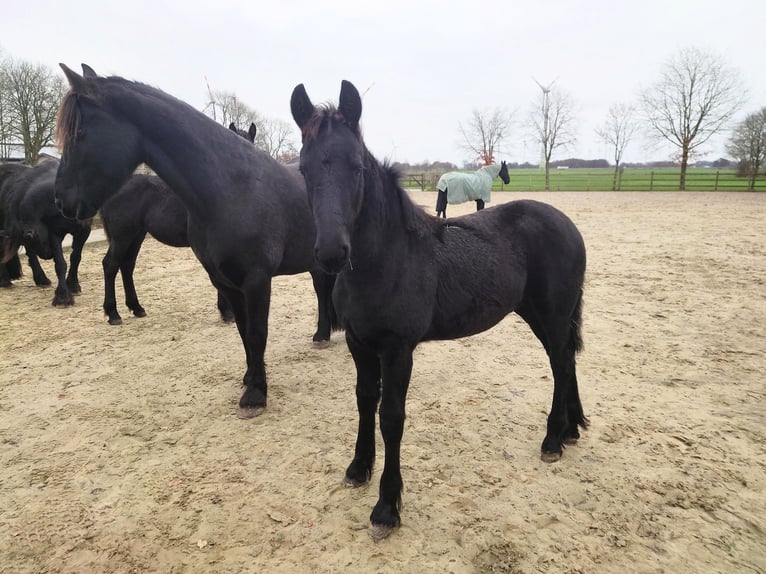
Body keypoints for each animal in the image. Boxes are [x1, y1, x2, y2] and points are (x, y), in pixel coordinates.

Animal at [0, 158, 91, 306]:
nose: (47, 254)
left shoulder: (84, 230)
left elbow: (75, 257)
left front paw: (73, 285)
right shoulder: (53, 232)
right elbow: (60, 263)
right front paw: (63, 296)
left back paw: (40, 279)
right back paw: (5, 280)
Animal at [99, 123, 258, 326]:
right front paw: (228, 313)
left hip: (137, 235)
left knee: (127, 265)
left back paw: (137, 308)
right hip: (122, 235)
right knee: (110, 265)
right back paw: (113, 314)